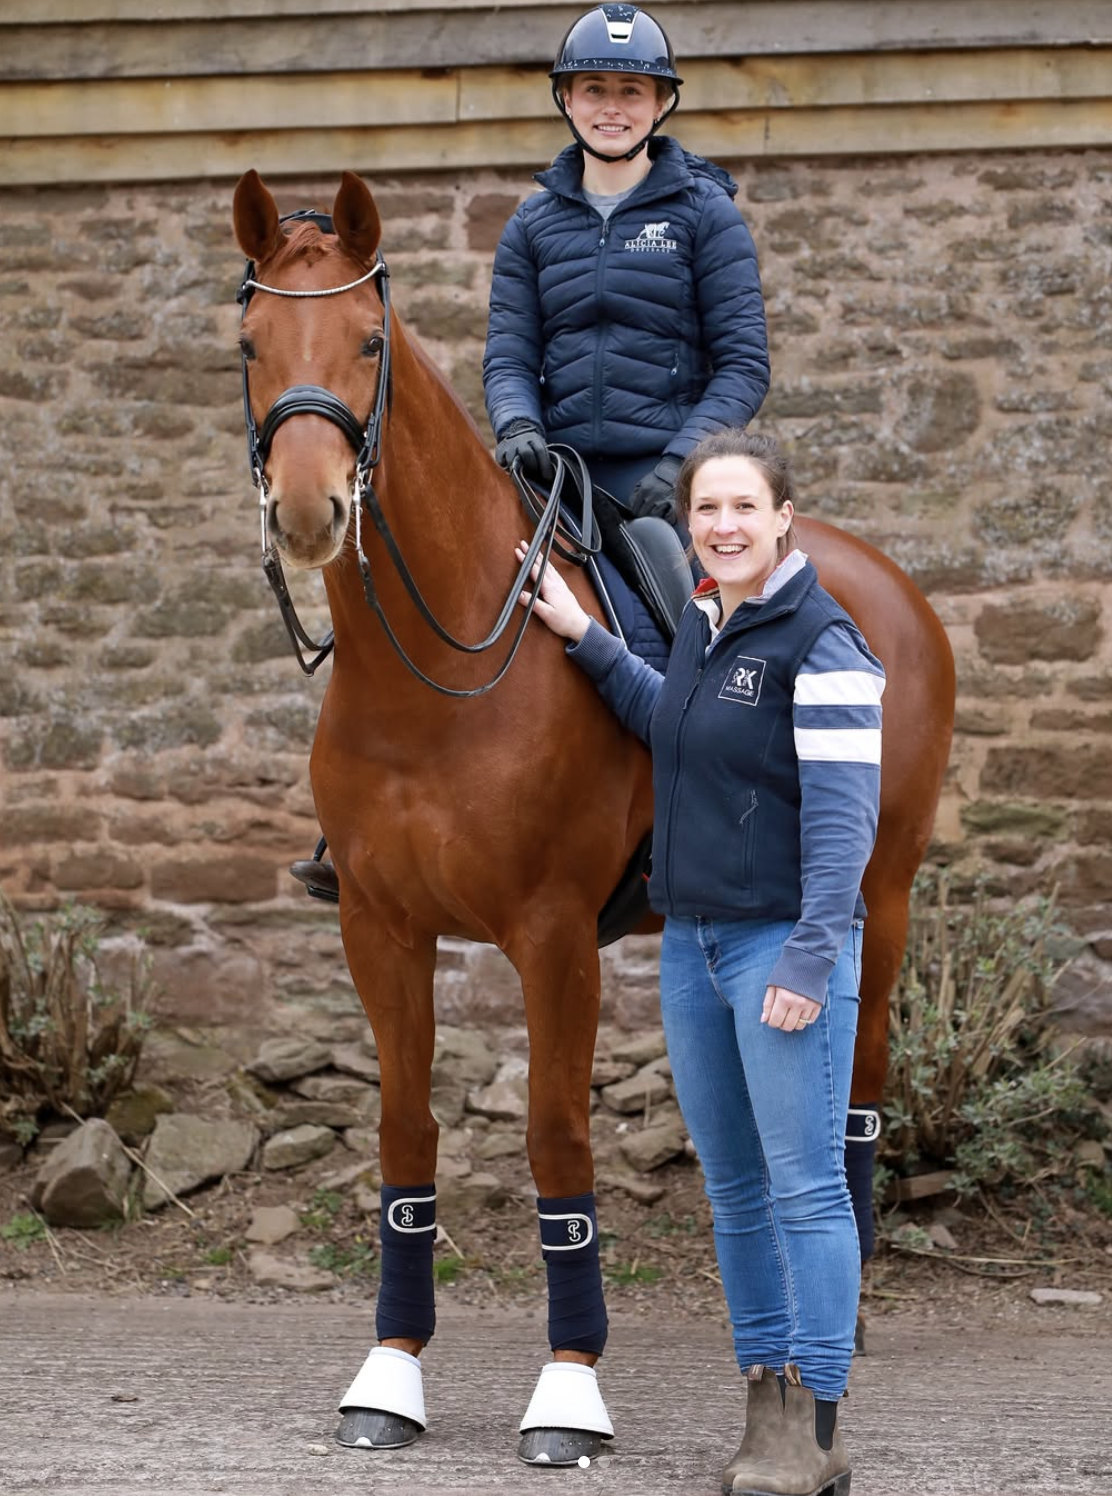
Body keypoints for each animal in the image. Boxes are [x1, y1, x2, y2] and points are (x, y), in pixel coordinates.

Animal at [231, 168, 955, 1465]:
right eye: (254, 345)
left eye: (367, 342)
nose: (311, 510)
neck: (435, 677)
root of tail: (887, 587)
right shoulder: (378, 930)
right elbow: (405, 1136)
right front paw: (388, 1372)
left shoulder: (553, 934)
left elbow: (555, 1138)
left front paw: (568, 1389)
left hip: (871, 906)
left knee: (853, 1098)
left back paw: (844, 1312)